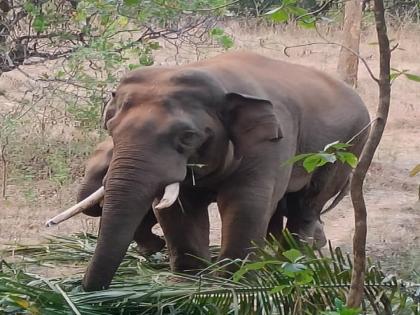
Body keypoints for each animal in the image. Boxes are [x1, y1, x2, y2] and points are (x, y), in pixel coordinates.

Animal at [79, 51, 370, 292]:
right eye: (110, 128)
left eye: (188, 136)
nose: (88, 290)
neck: (214, 76)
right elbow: (178, 210)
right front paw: (188, 282)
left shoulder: (270, 144)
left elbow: (246, 203)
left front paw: (232, 284)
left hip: (346, 147)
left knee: (306, 205)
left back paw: (290, 265)